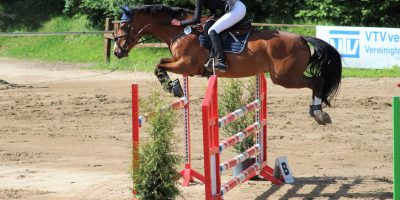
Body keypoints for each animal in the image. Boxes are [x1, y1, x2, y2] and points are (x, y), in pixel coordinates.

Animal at [114, 4, 342, 125]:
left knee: (317, 81)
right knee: (317, 82)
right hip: (286, 76)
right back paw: (316, 112)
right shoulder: (179, 62)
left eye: (124, 26)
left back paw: (319, 113)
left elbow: (158, 65)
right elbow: (160, 63)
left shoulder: (187, 66)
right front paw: (174, 87)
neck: (181, 31)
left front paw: (174, 87)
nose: (117, 52)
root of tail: (302, 38)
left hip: (285, 77)